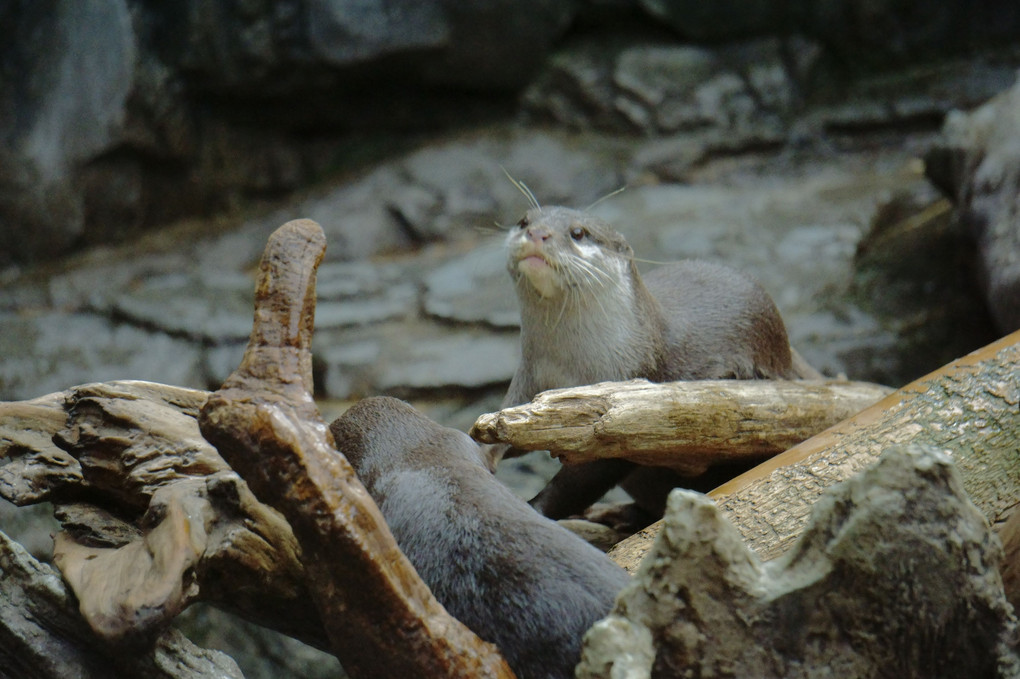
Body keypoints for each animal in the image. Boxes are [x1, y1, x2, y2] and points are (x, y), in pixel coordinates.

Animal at [497, 204, 816, 517]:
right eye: (524, 221)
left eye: (578, 232)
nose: (537, 233)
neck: (568, 367)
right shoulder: (528, 380)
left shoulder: (617, 412)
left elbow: (585, 478)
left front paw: (534, 507)